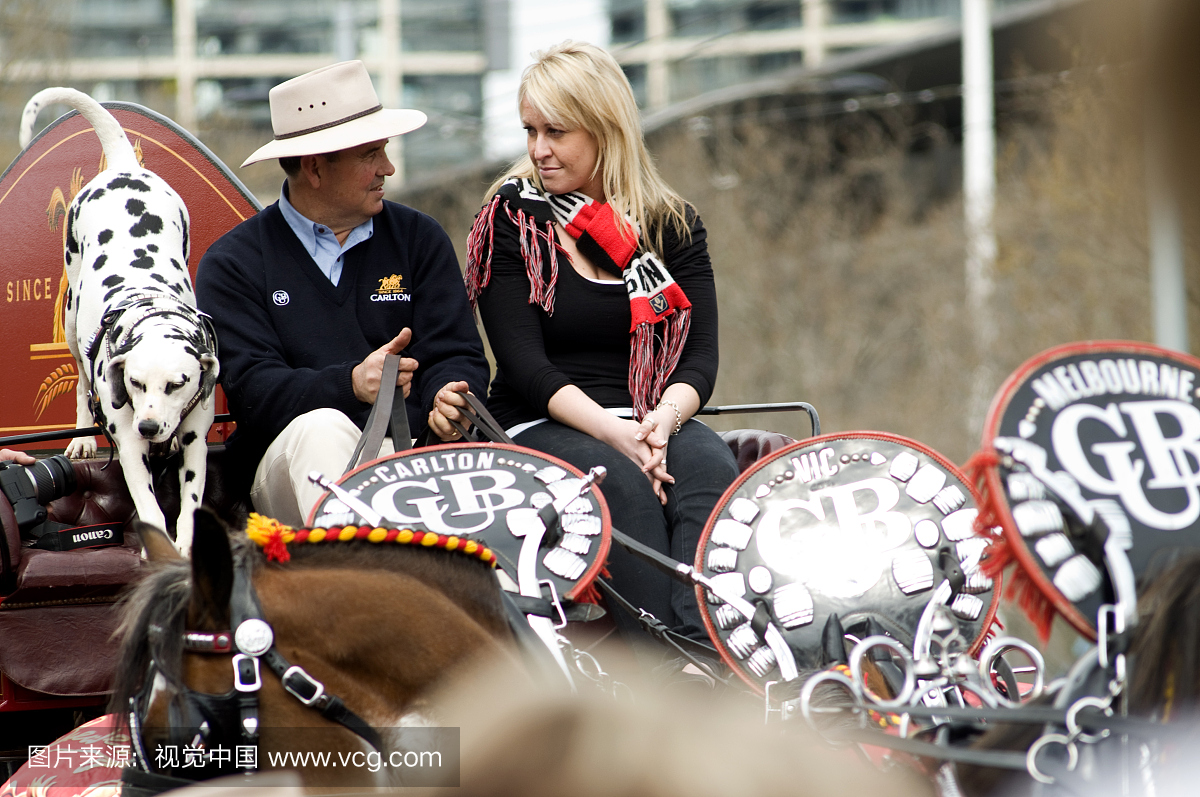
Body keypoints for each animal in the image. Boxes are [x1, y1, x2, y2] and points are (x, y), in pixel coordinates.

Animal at [19, 87, 219, 556]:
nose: (149, 425)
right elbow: (148, 506)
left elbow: (191, 500)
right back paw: (82, 437)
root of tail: (123, 168)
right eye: (135, 383)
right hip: (72, 319)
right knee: (79, 382)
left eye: (178, 384)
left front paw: (186, 543)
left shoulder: (196, 441)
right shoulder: (128, 444)